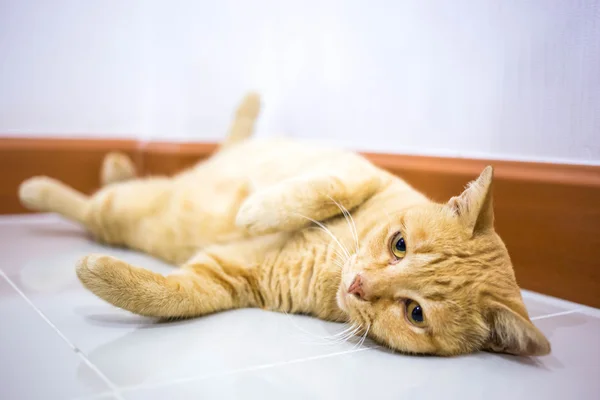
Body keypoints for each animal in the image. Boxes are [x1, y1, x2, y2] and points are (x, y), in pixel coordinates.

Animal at [16, 93, 552, 356]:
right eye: (399, 244)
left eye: (415, 313)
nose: (358, 285)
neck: (331, 264)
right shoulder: (363, 174)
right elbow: (325, 188)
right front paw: (253, 210)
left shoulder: (225, 280)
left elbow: (167, 296)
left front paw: (100, 275)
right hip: (140, 204)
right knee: (97, 198)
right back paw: (50, 183)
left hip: (133, 216)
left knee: (95, 210)